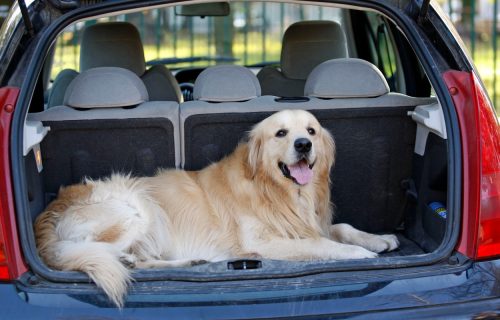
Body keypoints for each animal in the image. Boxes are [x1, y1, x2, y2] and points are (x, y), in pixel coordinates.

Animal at [35, 110, 398, 308]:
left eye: (311, 131)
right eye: (281, 133)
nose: (304, 145)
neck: (276, 191)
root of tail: (49, 212)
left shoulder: (311, 222)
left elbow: (340, 228)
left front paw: (379, 239)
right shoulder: (263, 242)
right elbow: (321, 244)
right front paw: (359, 253)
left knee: (138, 260)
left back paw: (188, 262)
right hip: (137, 209)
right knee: (100, 252)